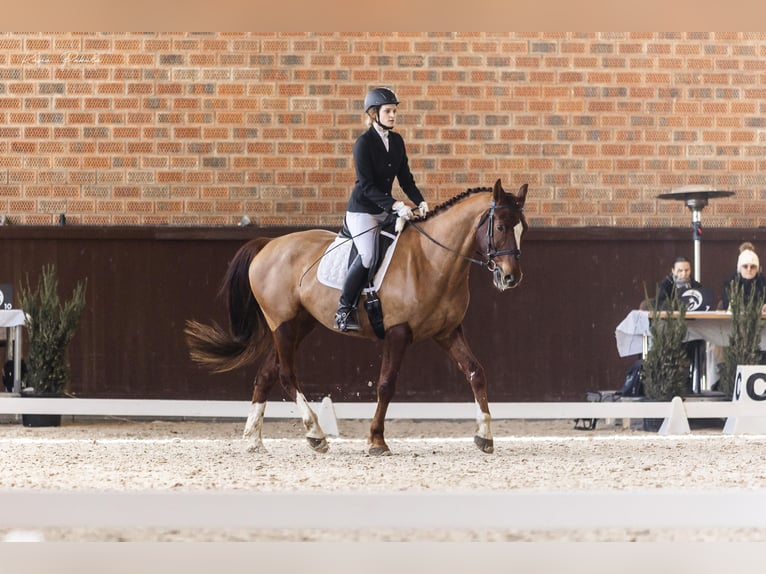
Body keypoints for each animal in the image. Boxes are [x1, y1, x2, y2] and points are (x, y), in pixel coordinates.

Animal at [185, 178, 529, 455]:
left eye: (522, 228)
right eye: (500, 227)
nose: (511, 278)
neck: (432, 260)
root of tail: (269, 244)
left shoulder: (447, 331)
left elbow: (476, 372)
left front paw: (484, 436)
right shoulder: (398, 332)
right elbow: (386, 384)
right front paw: (376, 441)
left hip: (300, 324)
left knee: (267, 374)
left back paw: (254, 440)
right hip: (282, 324)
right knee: (285, 375)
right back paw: (315, 434)